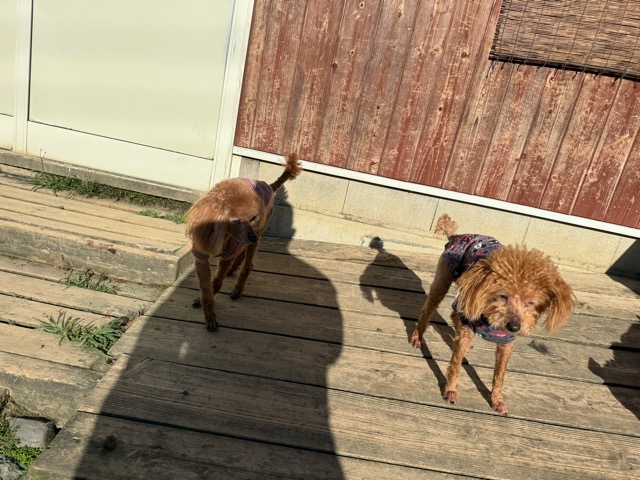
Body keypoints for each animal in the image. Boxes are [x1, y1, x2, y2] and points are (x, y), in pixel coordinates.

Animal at [186, 153, 302, 332]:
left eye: (253, 218)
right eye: (235, 220)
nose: (253, 237)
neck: (222, 235)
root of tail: (269, 186)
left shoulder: (229, 253)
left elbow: (216, 283)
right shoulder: (201, 257)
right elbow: (206, 289)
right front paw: (208, 311)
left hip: (256, 235)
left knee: (247, 265)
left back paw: (238, 287)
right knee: (241, 256)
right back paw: (234, 270)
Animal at [410, 214, 574, 414]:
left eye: (530, 302)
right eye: (503, 296)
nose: (514, 326)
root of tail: (456, 236)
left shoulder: (506, 342)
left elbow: (499, 374)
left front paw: (497, 400)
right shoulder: (470, 317)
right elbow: (456, 363)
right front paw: (450, 390)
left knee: (454, 316)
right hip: (443, 282)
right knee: (428, 310)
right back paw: (417, 337)